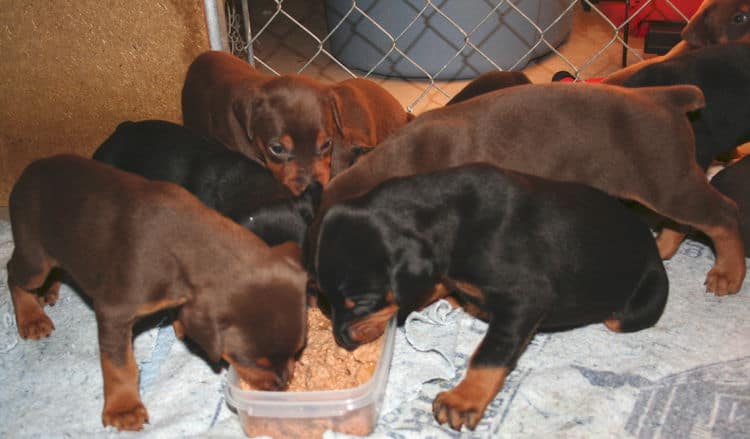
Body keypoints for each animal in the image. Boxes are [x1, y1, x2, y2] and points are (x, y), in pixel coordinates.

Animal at [8, 156, 308, 434]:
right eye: (255, 361)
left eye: (298, 350)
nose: (282, 384)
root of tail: (31, 168)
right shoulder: (114, 311)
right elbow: (119, 365)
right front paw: (124, 409)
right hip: (34, 253)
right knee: (13, 272)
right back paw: (31, 317)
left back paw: (48, 292)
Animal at [312, 82, 748, 296]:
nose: (317, 299)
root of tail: (666, 96)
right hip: (660, 183)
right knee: (686, 220)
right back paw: (666, 246)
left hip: (666, 179)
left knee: (723, 214)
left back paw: (728, 273)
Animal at [312, 165, 668, 434]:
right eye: (325, 300)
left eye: (360, 301)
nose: (342, 341)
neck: (453, 218)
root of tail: (653, 245)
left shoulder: (525, 298)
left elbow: (490, 352)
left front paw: (463, 399)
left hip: (635, 307)